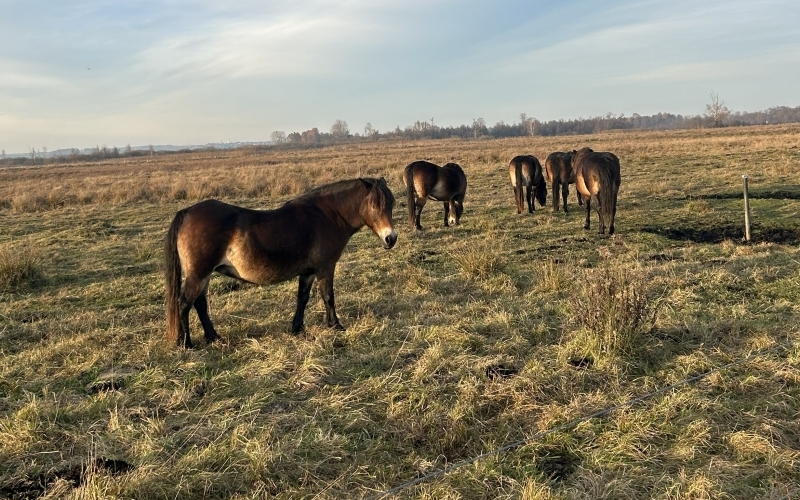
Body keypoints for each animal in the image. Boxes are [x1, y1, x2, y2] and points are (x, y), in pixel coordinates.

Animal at [164, 177, 397, 348]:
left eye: (391, 204)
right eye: (374, 205)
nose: (391, 238)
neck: (327, 216)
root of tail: (188, 212)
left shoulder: (308, 272)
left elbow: (302, 298)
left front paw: (298, 328)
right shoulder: (325, 267)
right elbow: (328, 296)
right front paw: (335, 325)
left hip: (204, 275)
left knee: (200, 304)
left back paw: (213, 337)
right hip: (199, 274)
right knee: (184, 303)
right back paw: (186, 343)